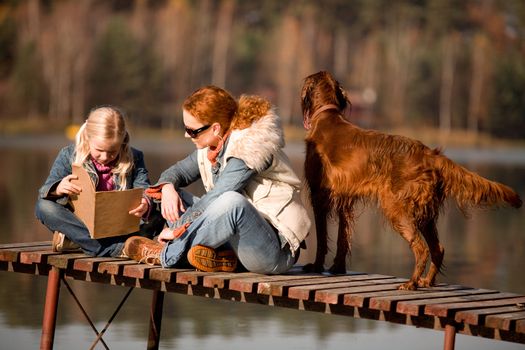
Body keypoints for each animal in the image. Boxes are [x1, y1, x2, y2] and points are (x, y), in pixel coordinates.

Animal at [300, 70, 520, 290]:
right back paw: (426, 281)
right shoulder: (345, 200)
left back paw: (410, 283)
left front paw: (316, 266)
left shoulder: (318, 195)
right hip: (425, 213)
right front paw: (337, 268)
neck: (326, 117)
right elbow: (342, 238)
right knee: (438, 248)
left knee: (421, 248)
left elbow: (321, 239)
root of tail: (430, 154)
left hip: (397, 208)